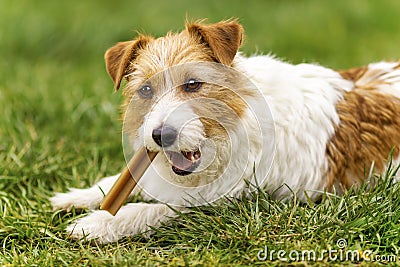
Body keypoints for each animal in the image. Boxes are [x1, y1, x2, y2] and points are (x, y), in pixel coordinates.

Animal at [50, 19, 400, 244]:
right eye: (146, 90)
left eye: (193, 84)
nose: (161, 136)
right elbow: (118, 183)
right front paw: (76, 196)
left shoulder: (227, 208)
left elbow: (157, 209)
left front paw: (98, 223)